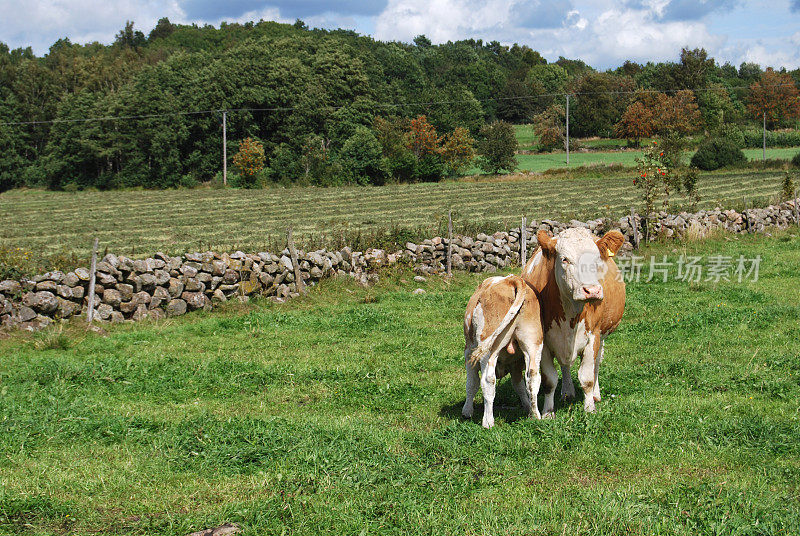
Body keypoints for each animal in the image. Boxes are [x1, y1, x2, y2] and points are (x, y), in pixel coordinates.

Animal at [462, 274, 544, 430]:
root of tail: (511, 279)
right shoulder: (516, 364)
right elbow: (519, 385)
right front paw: (526, 406)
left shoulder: (469, 352)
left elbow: (471, 383)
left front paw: (467, 411)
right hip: (534, 343)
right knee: (533, 377)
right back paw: (535, 416)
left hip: (488, 348)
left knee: (488, 380)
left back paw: (488, 421)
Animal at [520, 226, 628, 414]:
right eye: (565, 259)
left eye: (597, 259)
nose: (592, 290)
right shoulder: (545, 342)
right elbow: (549, 380)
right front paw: (548, 412)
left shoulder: (593, 336)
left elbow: (587, 377)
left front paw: (590, 408)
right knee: (565, 365)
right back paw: (567, 392)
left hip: (602, 335)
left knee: (596, 364)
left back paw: (595, 395)